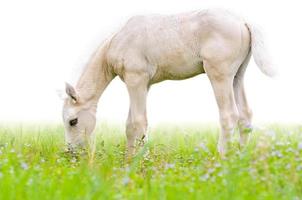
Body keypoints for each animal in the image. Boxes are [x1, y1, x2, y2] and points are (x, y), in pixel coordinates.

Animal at [60, 9, 274, 156]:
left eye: (73, 121)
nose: (71, 152)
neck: (118, 40)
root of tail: (243, 21)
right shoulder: (143, 84)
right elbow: (133, 125)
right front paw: (131, 159)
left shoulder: (135, 79)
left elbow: (137, 122)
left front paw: (137, 163)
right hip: (237, 76)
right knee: (245, 115)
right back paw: (239, 159)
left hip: (219, 74)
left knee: (229, 115)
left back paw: (222, 157)